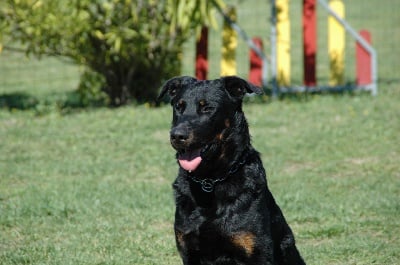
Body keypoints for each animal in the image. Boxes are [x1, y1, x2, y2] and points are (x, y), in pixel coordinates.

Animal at [158, 75, 304, 262]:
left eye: (208, 108)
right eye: (178, 106)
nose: (177, 135)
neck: (210, 180)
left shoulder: (257, 251)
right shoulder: (188, 250)